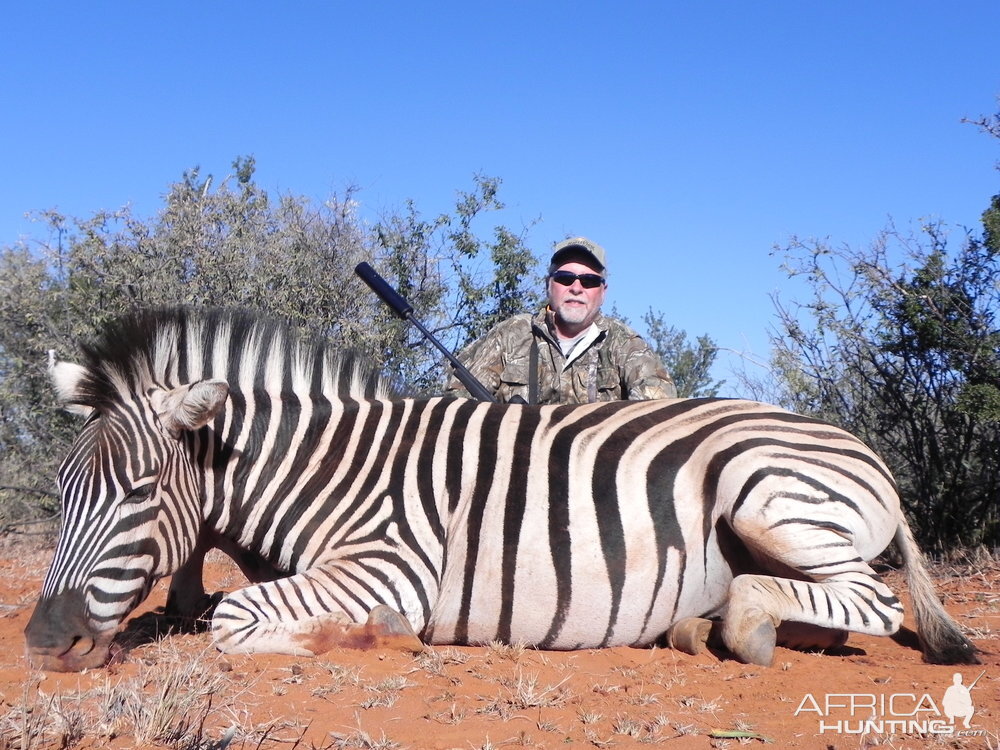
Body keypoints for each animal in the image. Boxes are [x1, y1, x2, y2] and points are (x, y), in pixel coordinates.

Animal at [23, 308, 976, 672]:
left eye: (140, 491)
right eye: (63, 491)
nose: (41, 641)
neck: (327, 467)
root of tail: (864, 451)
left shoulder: (388, 564)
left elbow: (231, 619)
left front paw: (368, 635)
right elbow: (200, 605)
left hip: (763, 490)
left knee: (872, 601)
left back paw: (739, 624)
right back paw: (701, 626)